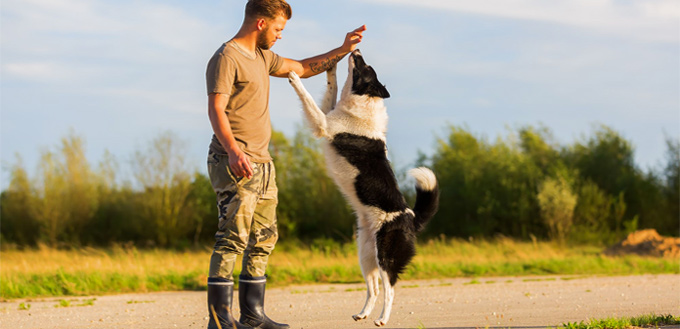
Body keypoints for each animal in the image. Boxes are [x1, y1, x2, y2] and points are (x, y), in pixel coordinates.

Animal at [286, 50, 440, 324]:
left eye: (365, 67)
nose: (356, 51)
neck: (363, 103)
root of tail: (411, 217)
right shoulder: (327, 111)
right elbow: (331, 87)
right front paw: (331, 67)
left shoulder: (323, 123)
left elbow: (307, 97)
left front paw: (294, 76)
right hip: (366, 254)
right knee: (374, 288)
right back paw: (363, 314)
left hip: (386, 256)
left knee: (390, 290)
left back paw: (382, 319)